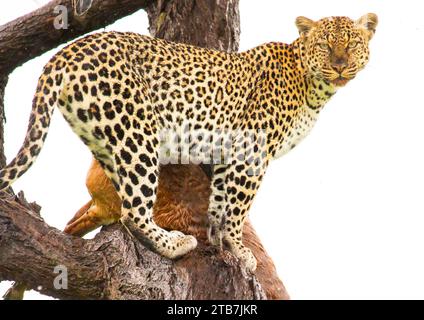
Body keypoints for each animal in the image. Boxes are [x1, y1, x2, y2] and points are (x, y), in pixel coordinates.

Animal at [0, 13, 378, 272]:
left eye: (351, 45)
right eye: (326, 45)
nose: (340, 65)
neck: (313, 87)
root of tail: (65, 52)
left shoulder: (229, 153)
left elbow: (221, 203)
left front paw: (221, 242)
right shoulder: (253, 152)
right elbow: (238, 208)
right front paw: (240, 251)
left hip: (107, 137)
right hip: (138, 131)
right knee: (134, 211)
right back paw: (174, 244)